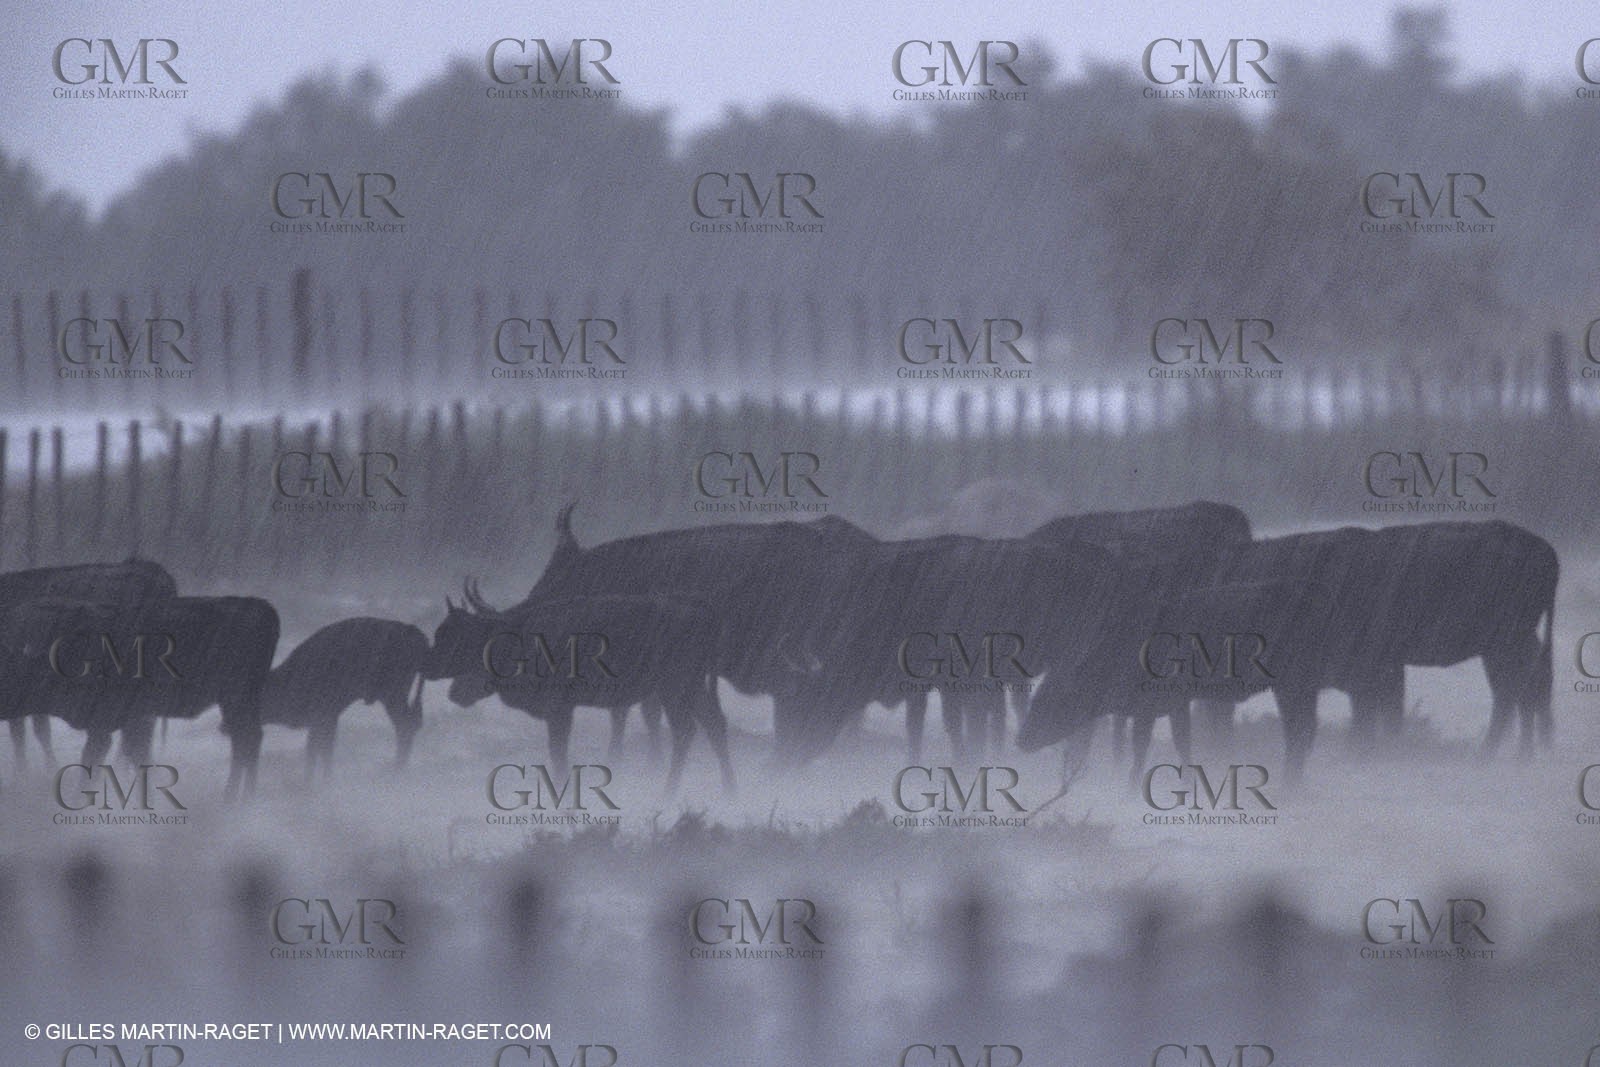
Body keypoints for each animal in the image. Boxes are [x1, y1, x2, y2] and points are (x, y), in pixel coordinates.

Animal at [0, 595, 278, 799]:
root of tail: (260, 606)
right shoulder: (130, 723)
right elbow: (138, 758)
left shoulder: (104, 725)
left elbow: (93, 761)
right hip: (239, 701)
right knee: (248, 739)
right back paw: (240, 796)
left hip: (235, 698)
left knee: (246, 739)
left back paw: (235, 797)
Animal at [260, 618, 429, 776]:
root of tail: (414, 633)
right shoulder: (327, 720)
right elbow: (321, 749)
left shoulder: (322, 718)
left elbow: (318, 751)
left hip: (393, 696)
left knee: (405, 725)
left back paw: (396, 769)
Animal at [425, 592, 736, 792]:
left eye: (450, 635)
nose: (428, 666)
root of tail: (703, 612)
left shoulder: (559, 711)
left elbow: (558, 752)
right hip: (692, 688)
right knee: (715, 726)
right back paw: (728, 789)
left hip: (674, 688)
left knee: (685, 730)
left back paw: (670, 791)